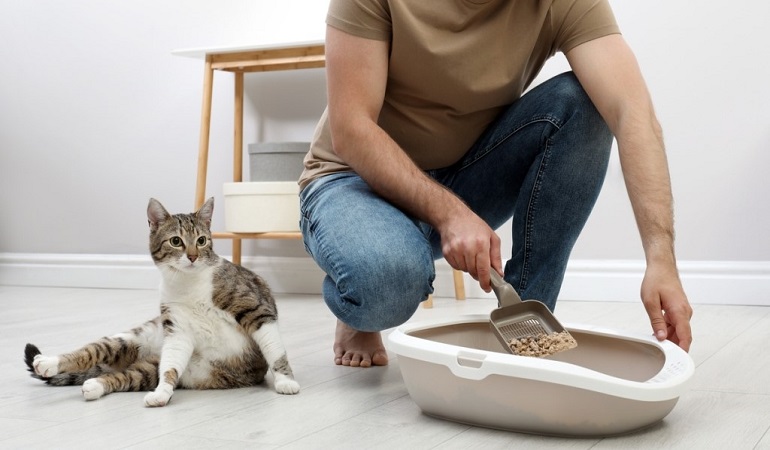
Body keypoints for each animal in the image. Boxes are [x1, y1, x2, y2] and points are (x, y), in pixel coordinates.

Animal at [24, 198, 300, 408]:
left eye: (201, 240)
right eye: (176, 241)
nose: (192, 256)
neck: (189, 284)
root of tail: (150, 350)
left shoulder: (256, 309)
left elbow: (274, 349)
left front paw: (285, 381)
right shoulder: (178, 329)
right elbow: (170, 369)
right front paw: (162, 392)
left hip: (152, 367)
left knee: (122, 375)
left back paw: (94, 385)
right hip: (130, 341)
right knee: (91, 353)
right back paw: (48, 363)